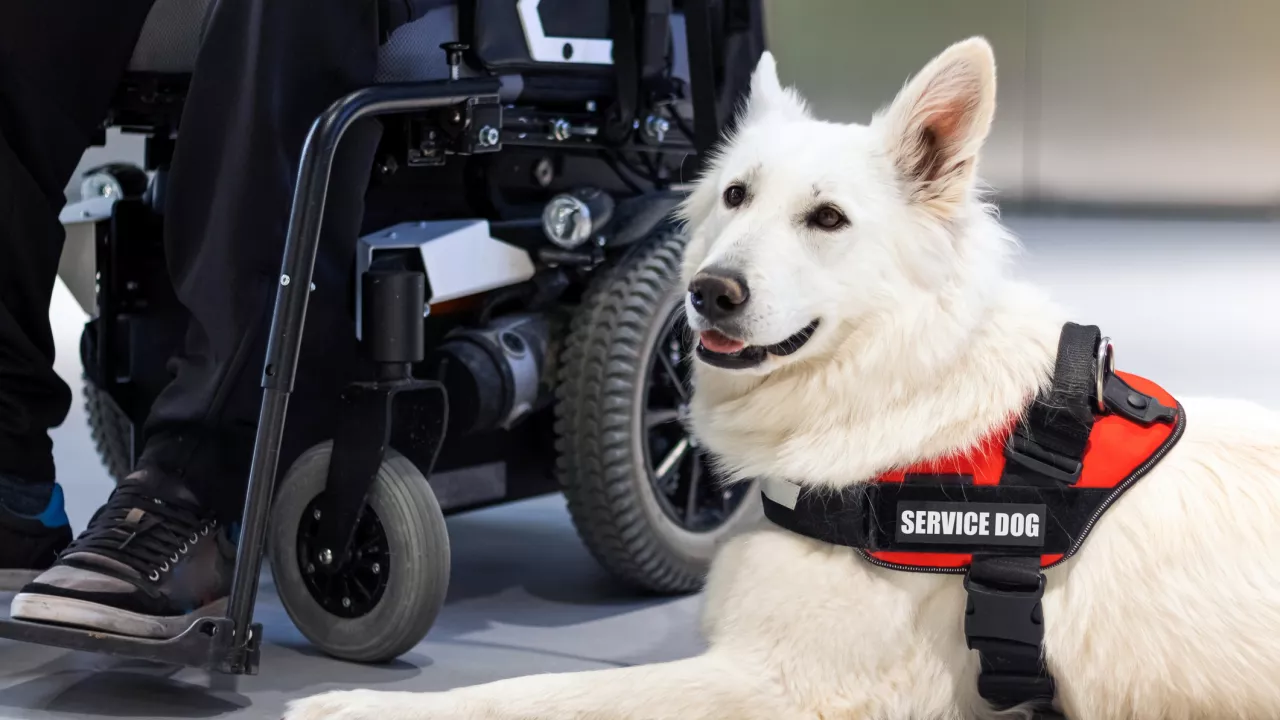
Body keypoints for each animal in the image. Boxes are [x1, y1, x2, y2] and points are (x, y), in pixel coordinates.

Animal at [285, 37, 1280, 717]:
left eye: (827, 218)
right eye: (735, 197)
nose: (706, 293)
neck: (893, 392)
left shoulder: (785, 685)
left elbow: (532, 694)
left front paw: (354, 705)